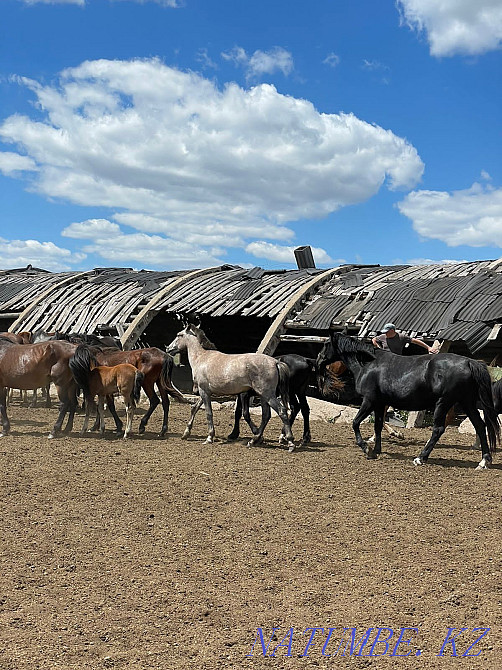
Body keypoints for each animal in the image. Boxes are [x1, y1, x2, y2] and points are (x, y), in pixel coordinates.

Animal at [166, 323, 295, 450]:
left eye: (179, 335)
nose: (168, 348)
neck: (201, 358)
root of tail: (276, 362)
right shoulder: (205, 392)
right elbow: (194, 408)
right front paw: (186, 433)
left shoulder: (204, 392)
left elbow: (208, 413)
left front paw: (209, 437)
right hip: (264, 396)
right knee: (266, 416)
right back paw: (254, 440)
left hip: (268, 395)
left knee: (281, 411)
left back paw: (289, 442)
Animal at [316, 332, 500, 469]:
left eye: (326, 344)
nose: (318, 361)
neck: (368, 364)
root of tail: (469, 362)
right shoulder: (380, 403)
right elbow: (378, 425)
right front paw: (376, 449)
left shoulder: (369, 400)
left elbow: (355, 422)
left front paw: (367, 449)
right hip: (466, 403)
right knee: (480, 426)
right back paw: (484, 461)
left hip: (443, 403)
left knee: (438, 429)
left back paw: (420, 458)